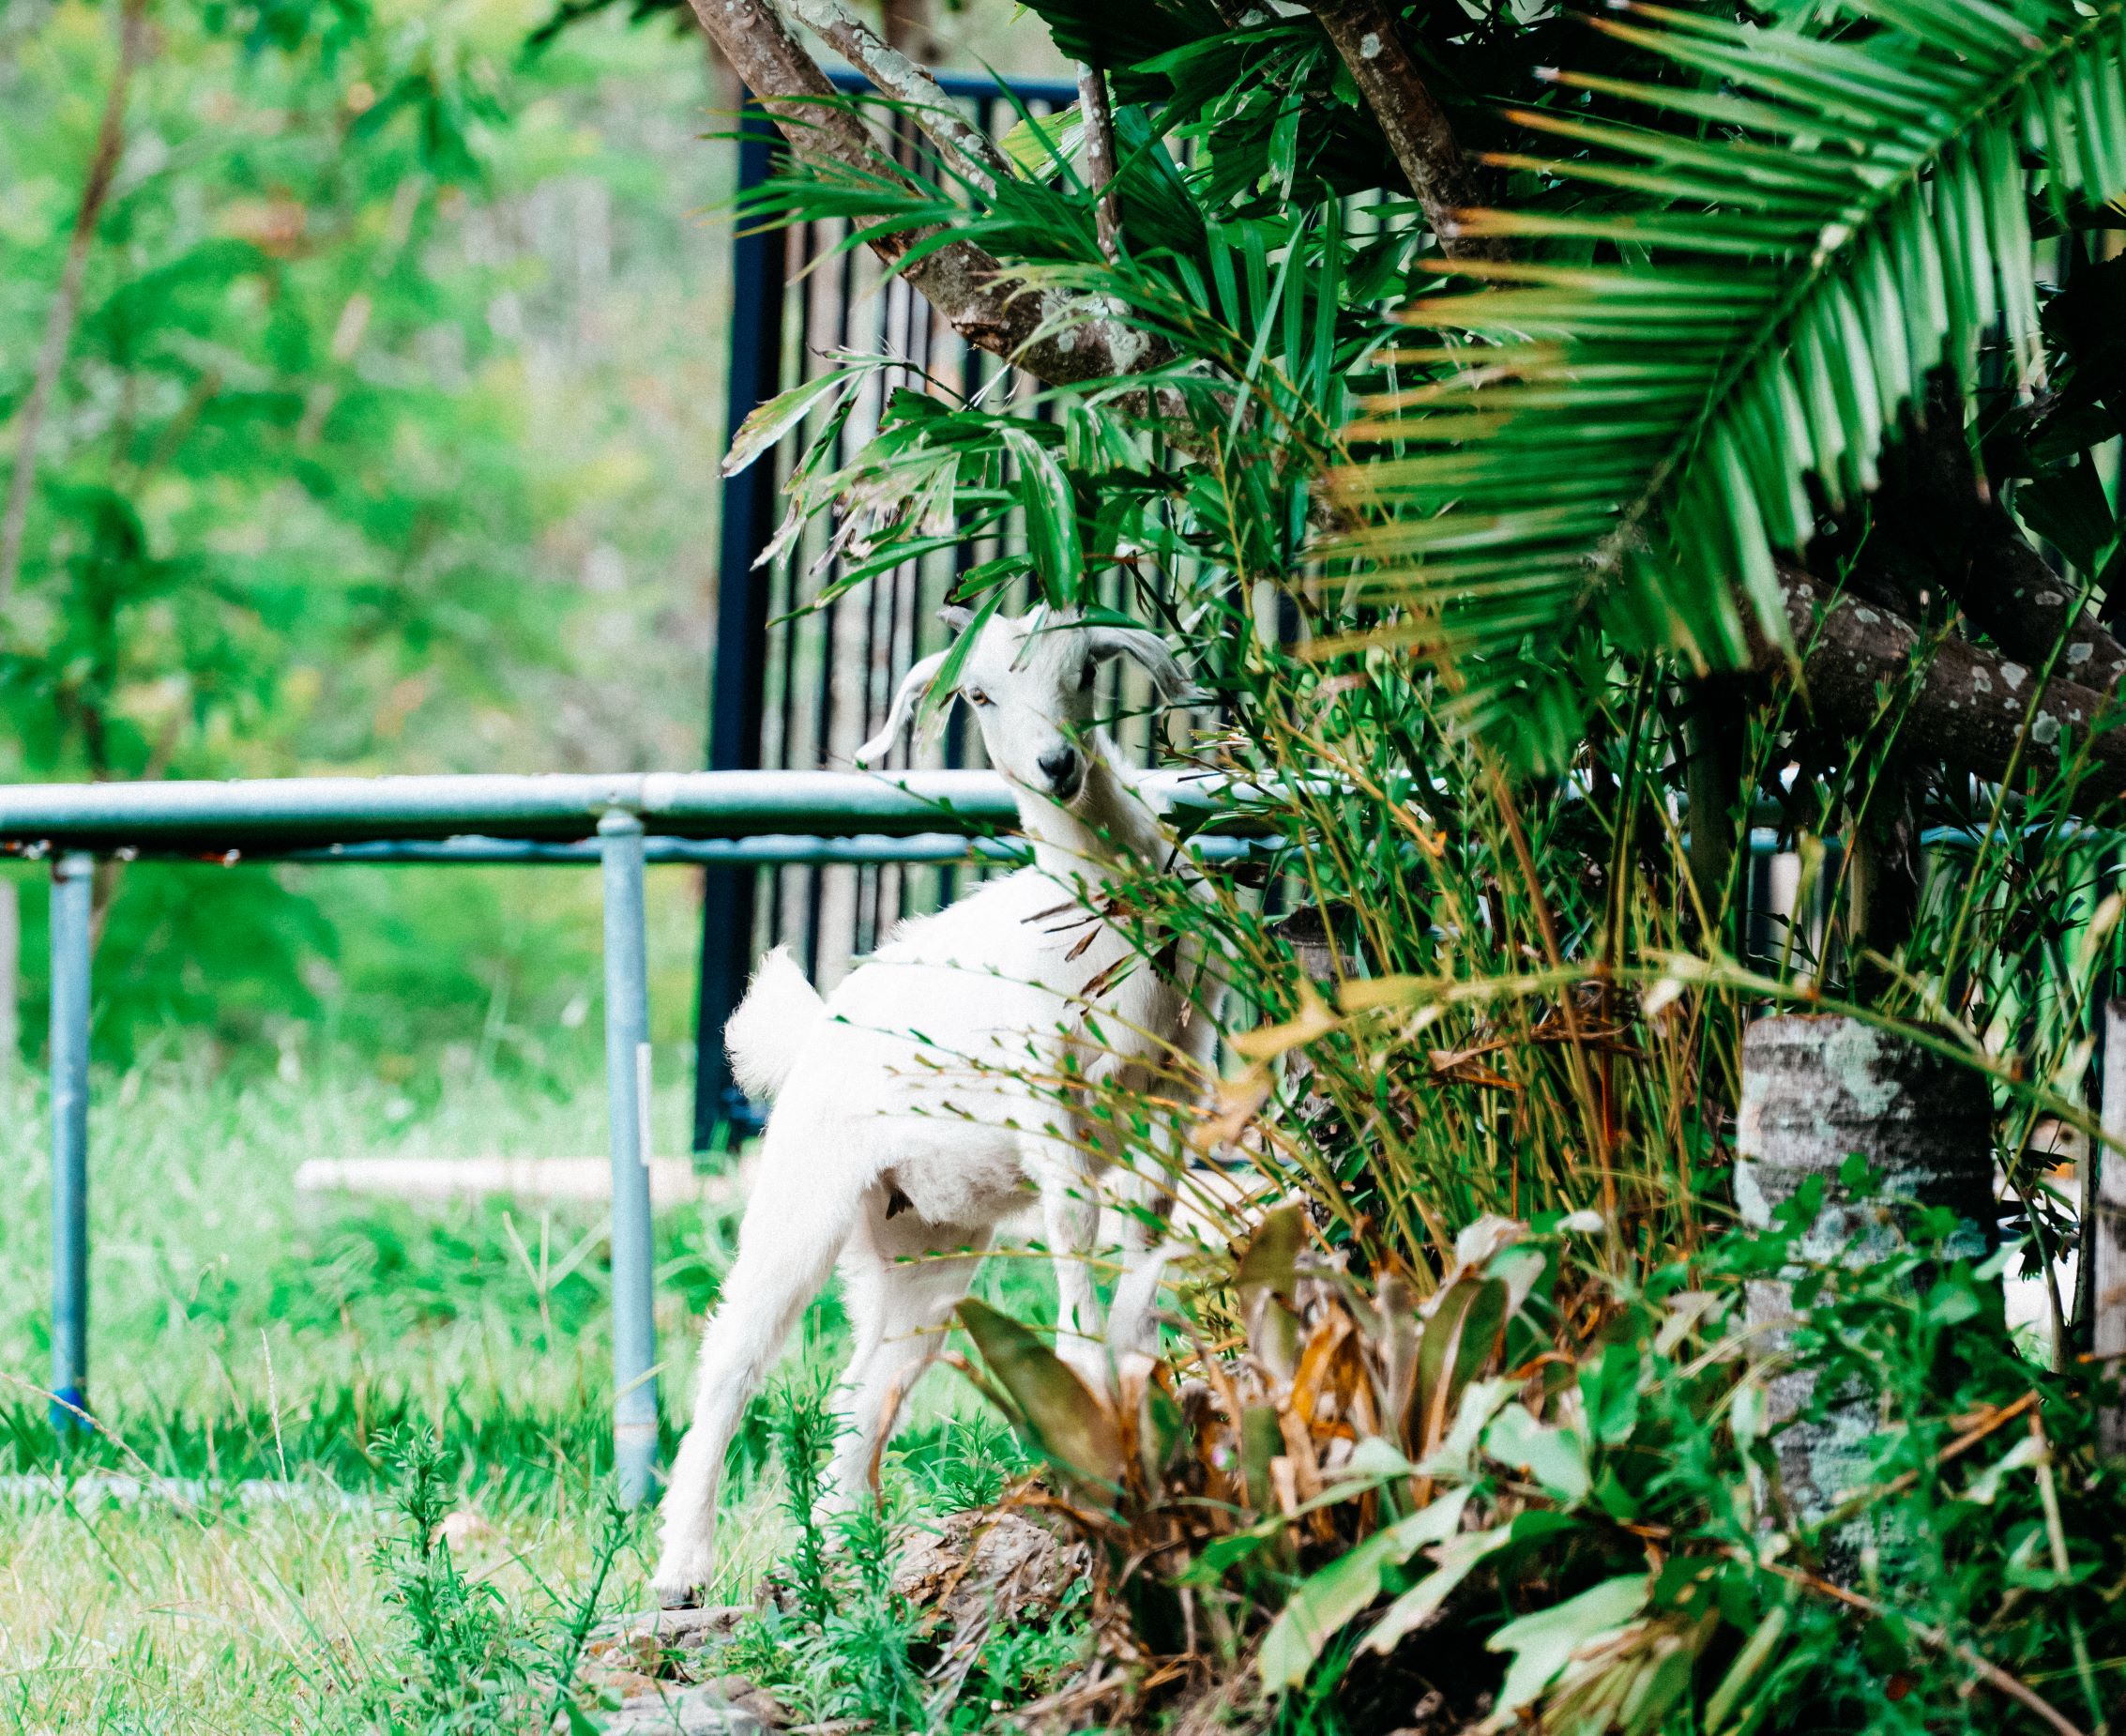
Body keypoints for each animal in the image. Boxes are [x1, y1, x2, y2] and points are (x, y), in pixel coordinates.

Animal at [651, 605, 1216, 1607]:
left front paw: (1140, 1367)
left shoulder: (1180, 1080)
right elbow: (1077, 1235)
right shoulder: (1047, 1097)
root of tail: (813, 1029)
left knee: (868, 1381)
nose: (1055, 766)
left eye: (1084, 672)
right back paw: (683, 1570)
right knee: (733, 1357)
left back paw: (851, 1552)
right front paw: (1091, 1384)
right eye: (978, 694)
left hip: (923, 1245)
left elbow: (1147, 1232)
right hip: (803, 1190)